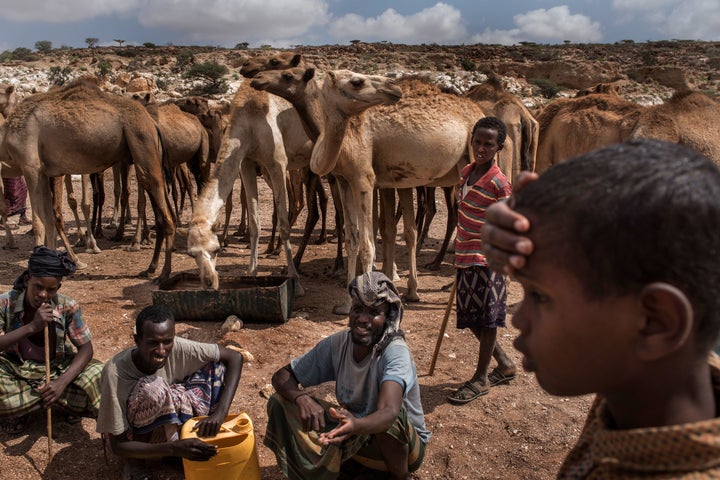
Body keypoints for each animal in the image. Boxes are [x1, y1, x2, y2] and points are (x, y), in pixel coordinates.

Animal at [1, 79, 176, 282]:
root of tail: (153, 125)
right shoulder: (43, 173)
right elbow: (49, 221)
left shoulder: (31, 167)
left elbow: (41, 223)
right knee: (161, 215)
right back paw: (150, 268)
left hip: (143, 145)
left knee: (166, 217)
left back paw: (164, 274)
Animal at [250, 67, 486, 316]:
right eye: (356, 82)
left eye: (287, 74)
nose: (257, 78)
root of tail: (478, 110)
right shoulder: (346, 181)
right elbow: (355, 238)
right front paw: (346, 303)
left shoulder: (366, 179)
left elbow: (369, 242)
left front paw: (373, 294)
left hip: (473, 159)